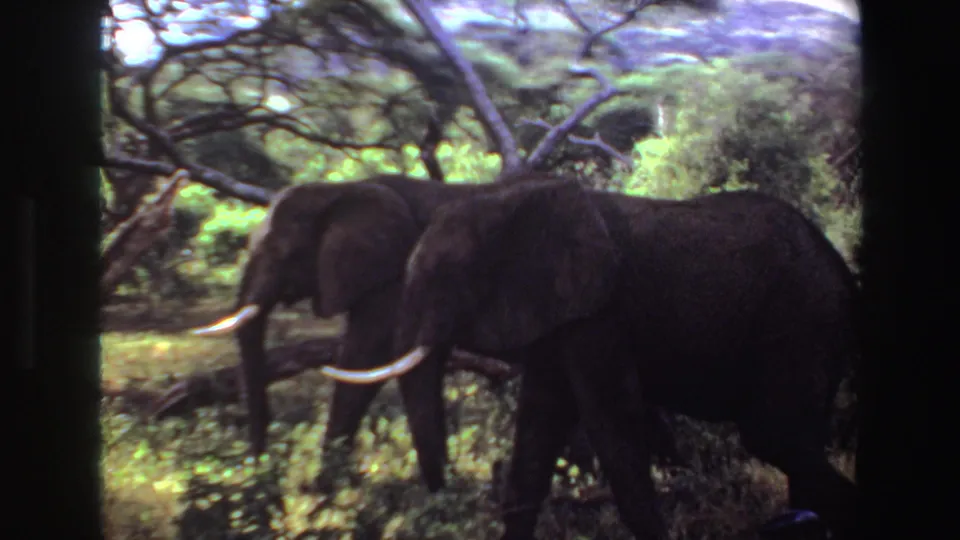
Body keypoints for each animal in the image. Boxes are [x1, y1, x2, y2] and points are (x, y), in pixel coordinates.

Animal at [190, 174, 680, 494]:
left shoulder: (388, 277)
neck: (341, 188)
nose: (258, 470)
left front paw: (322, 490)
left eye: (280, 252)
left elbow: (364, 361)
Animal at [319, 179, 860, 539]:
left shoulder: (601, 313)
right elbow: (538, 429)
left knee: (773, 436)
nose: (442, 501)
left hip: (801, 313)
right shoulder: (557, 316)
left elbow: (611, 427)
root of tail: (840, 266)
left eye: (447, 277)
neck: (512, 202)